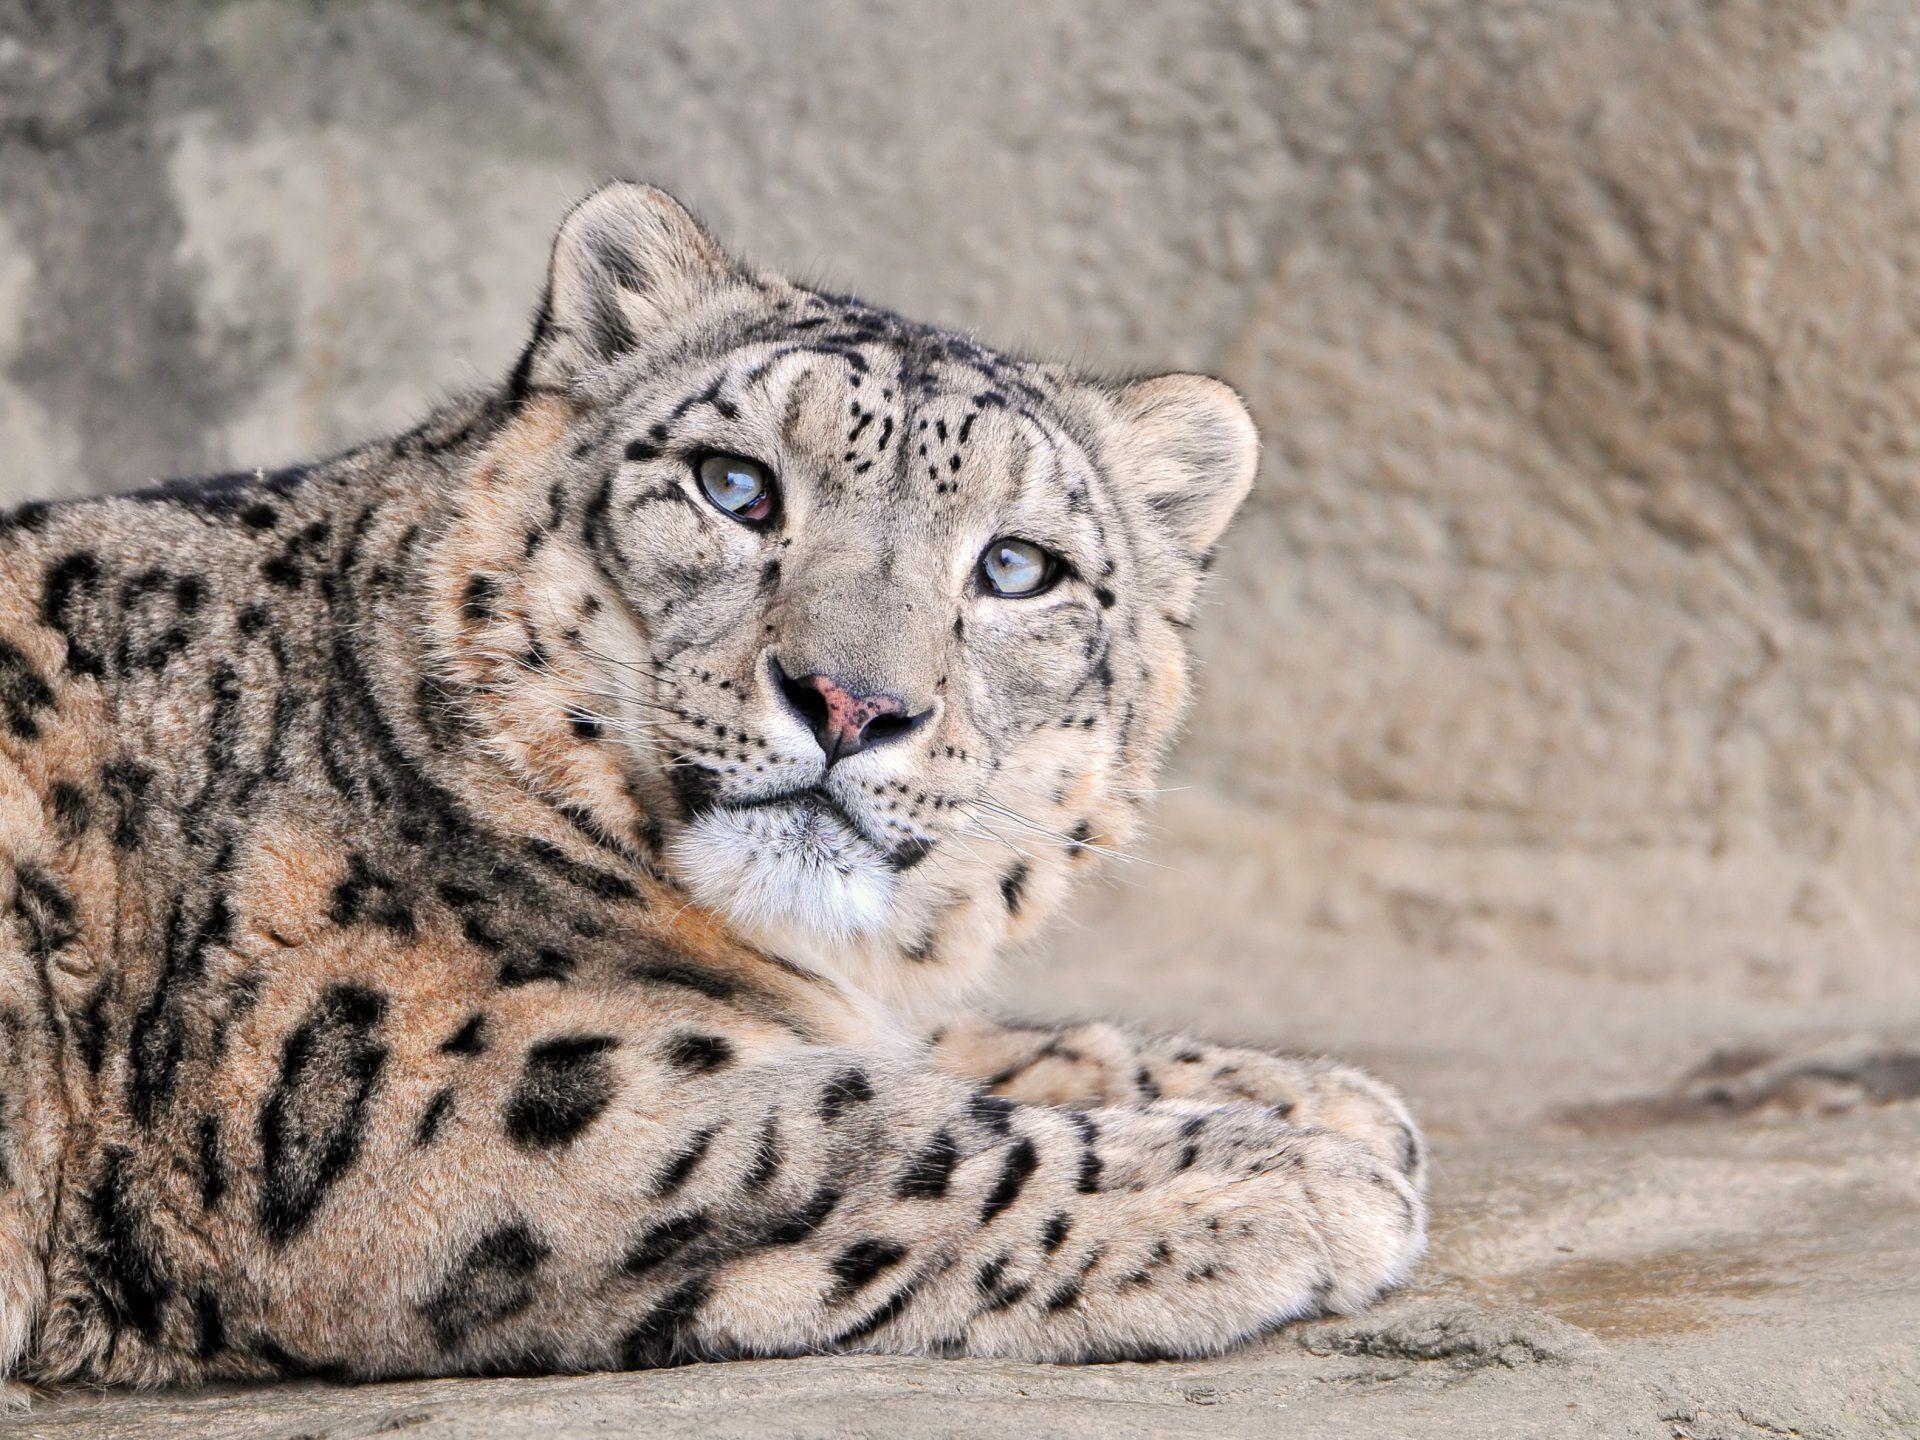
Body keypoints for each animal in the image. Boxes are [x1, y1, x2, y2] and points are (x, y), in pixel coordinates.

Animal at [0, 182, 1425, 1389]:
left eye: (1018, 568)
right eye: (735, 486)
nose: (851, 701)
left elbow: (940, 1048)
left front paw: (1317, 1096)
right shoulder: (416, 1083)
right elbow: (851, 1130)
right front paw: (1291, 1174)